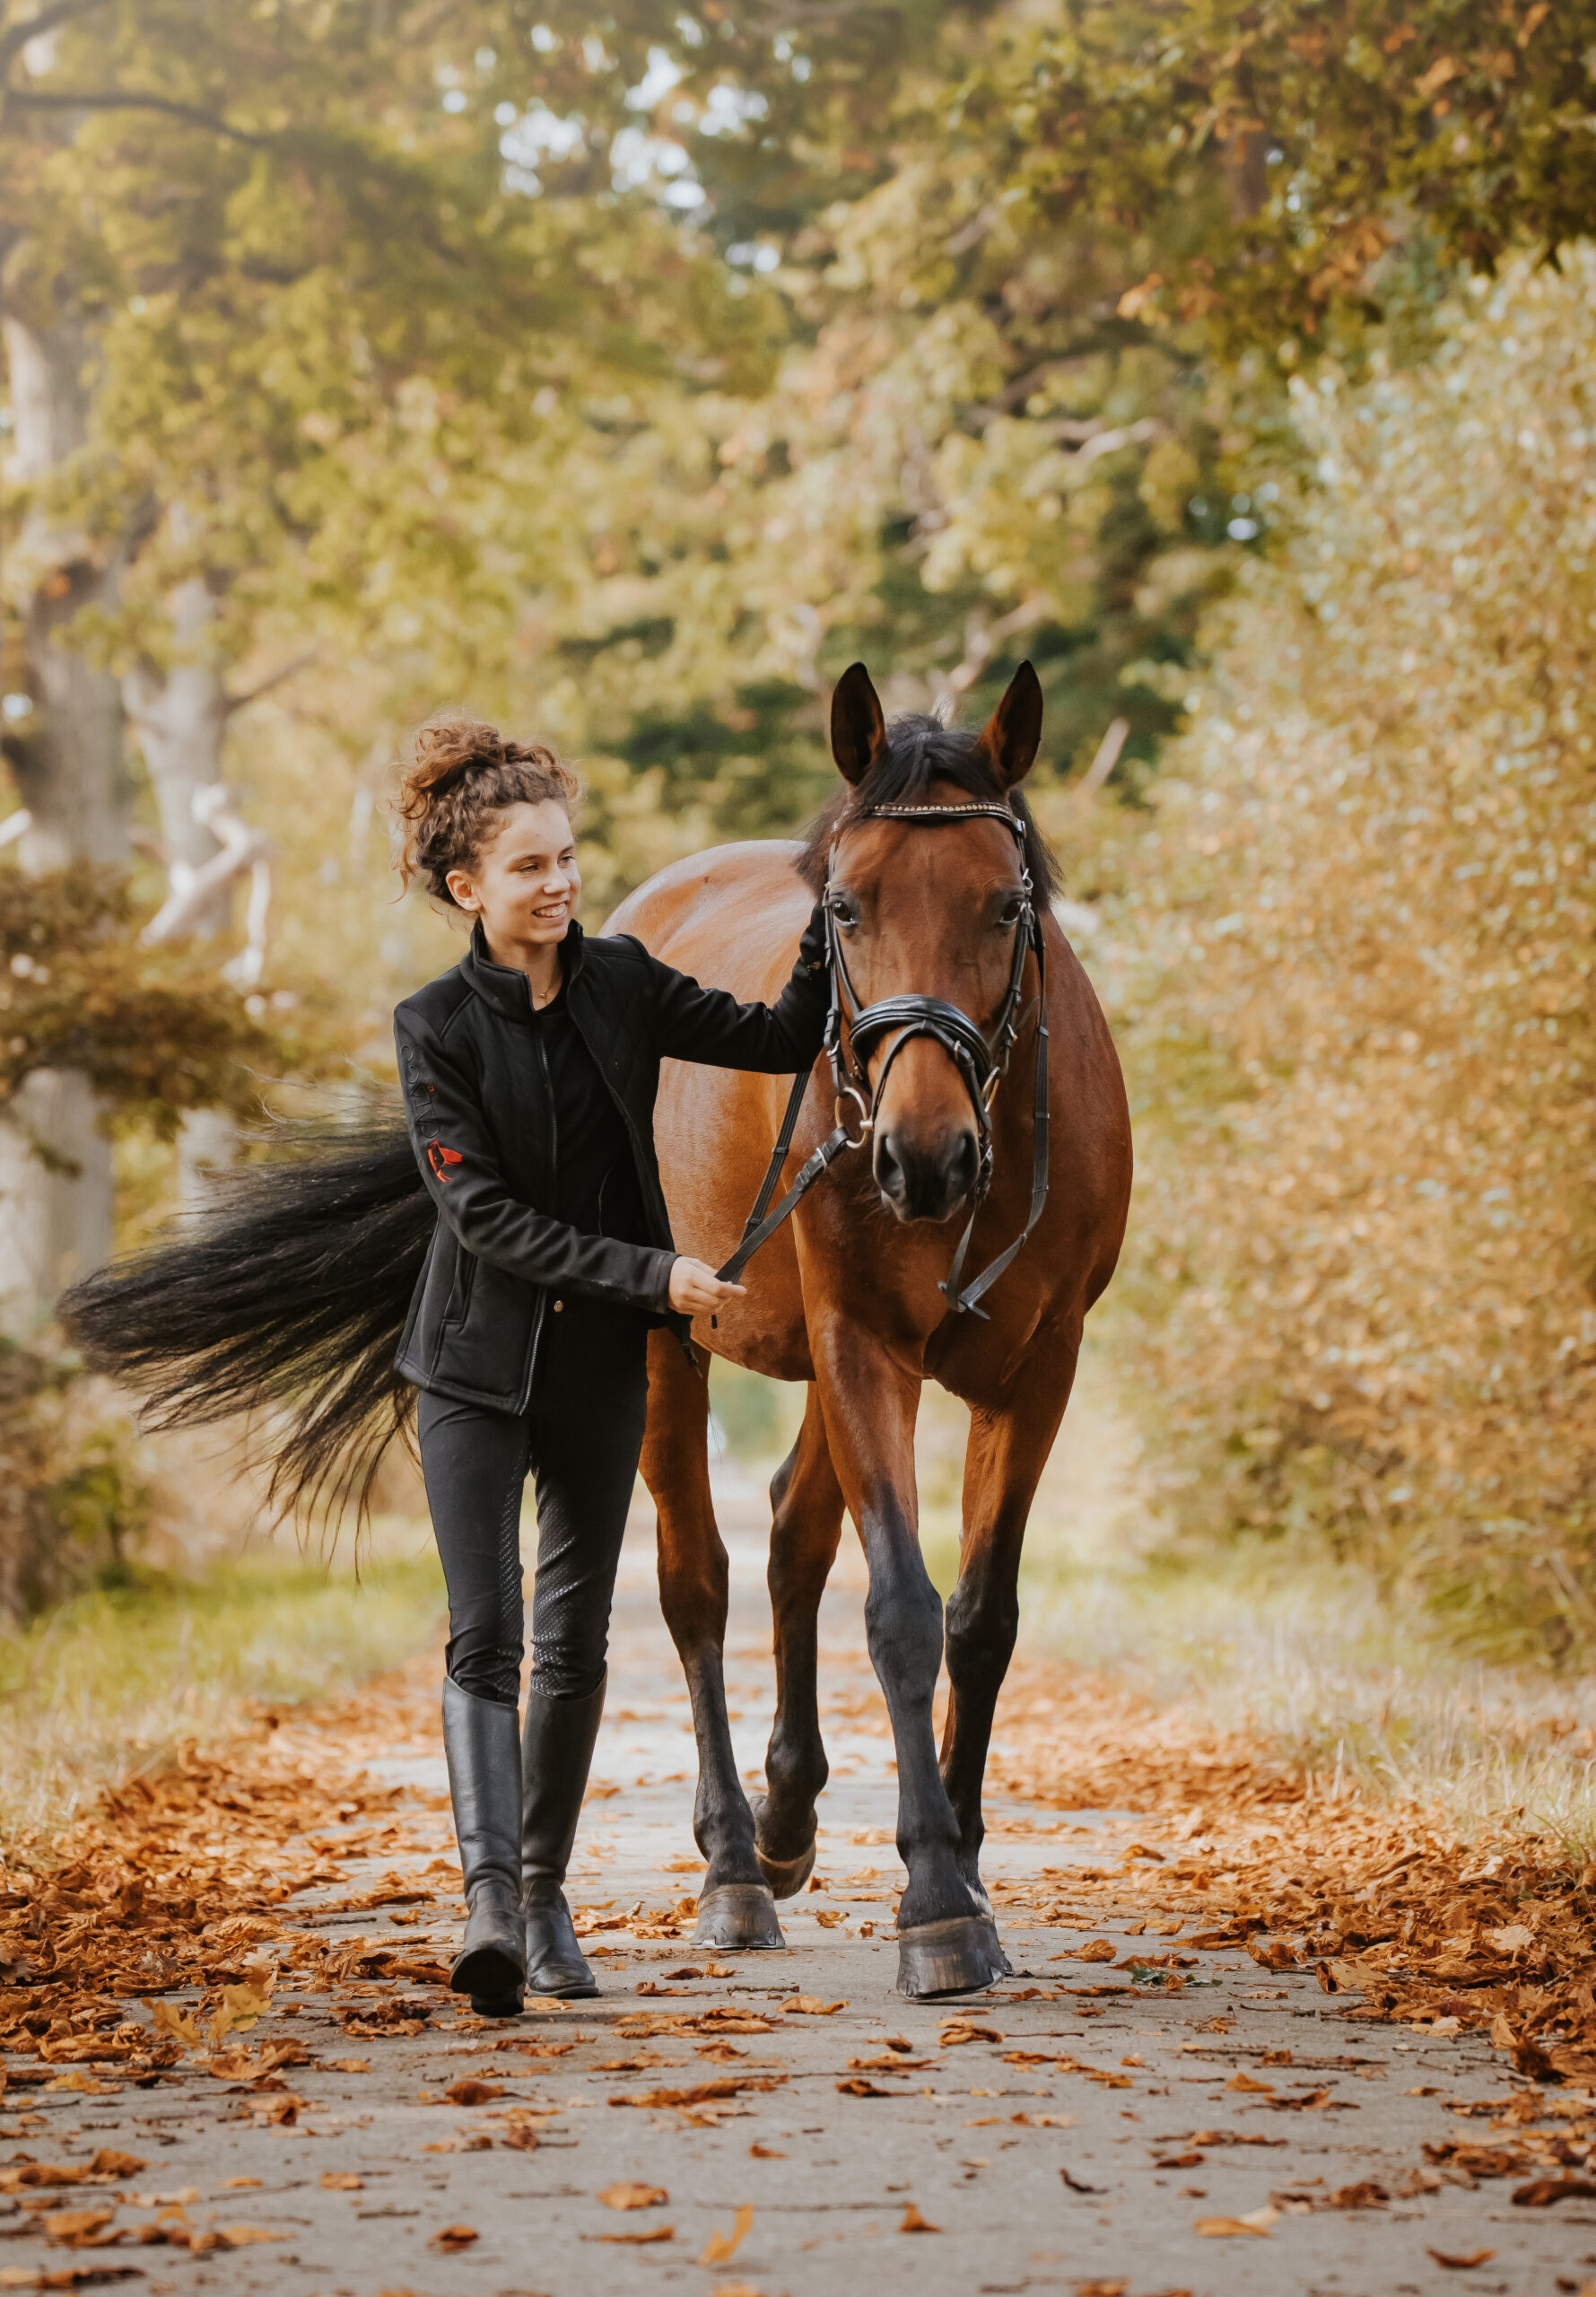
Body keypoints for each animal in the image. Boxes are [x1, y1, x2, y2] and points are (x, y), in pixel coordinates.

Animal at [610, 661, 1134, 1994]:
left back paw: (788, 1820)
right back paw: (734, 1867)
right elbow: (897, 1609)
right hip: (672, 1343)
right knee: (697, 1584)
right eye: (844, 909)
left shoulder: (1040, 1370)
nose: (923, 1157)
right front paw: (936, 1901)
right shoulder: (864, 1346)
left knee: (794, 1537)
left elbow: (980, 1620)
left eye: (1006, 907)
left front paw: (966, 1865)